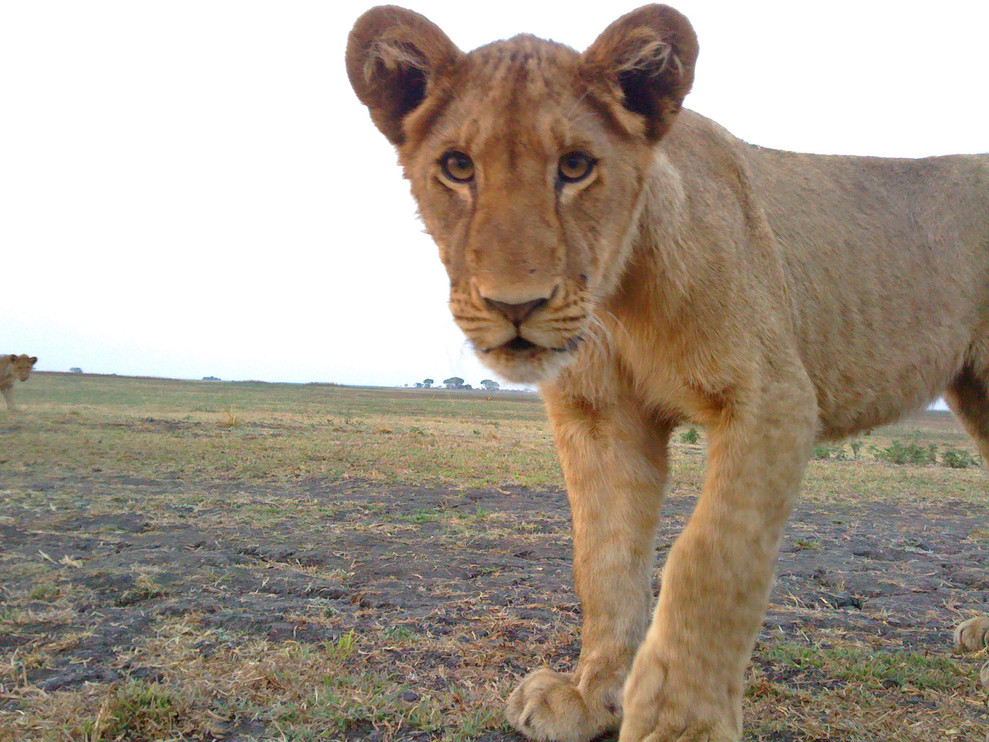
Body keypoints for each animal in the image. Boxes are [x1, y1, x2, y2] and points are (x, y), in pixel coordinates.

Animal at [346, 5, 989, 741]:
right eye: (457, 167)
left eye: (575, 166)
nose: (515, 306)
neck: (619, 300)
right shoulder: (599, 418)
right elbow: (603, 559)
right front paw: (589, 694)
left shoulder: (771, 399)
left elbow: (710, 554)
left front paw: (678, 723)